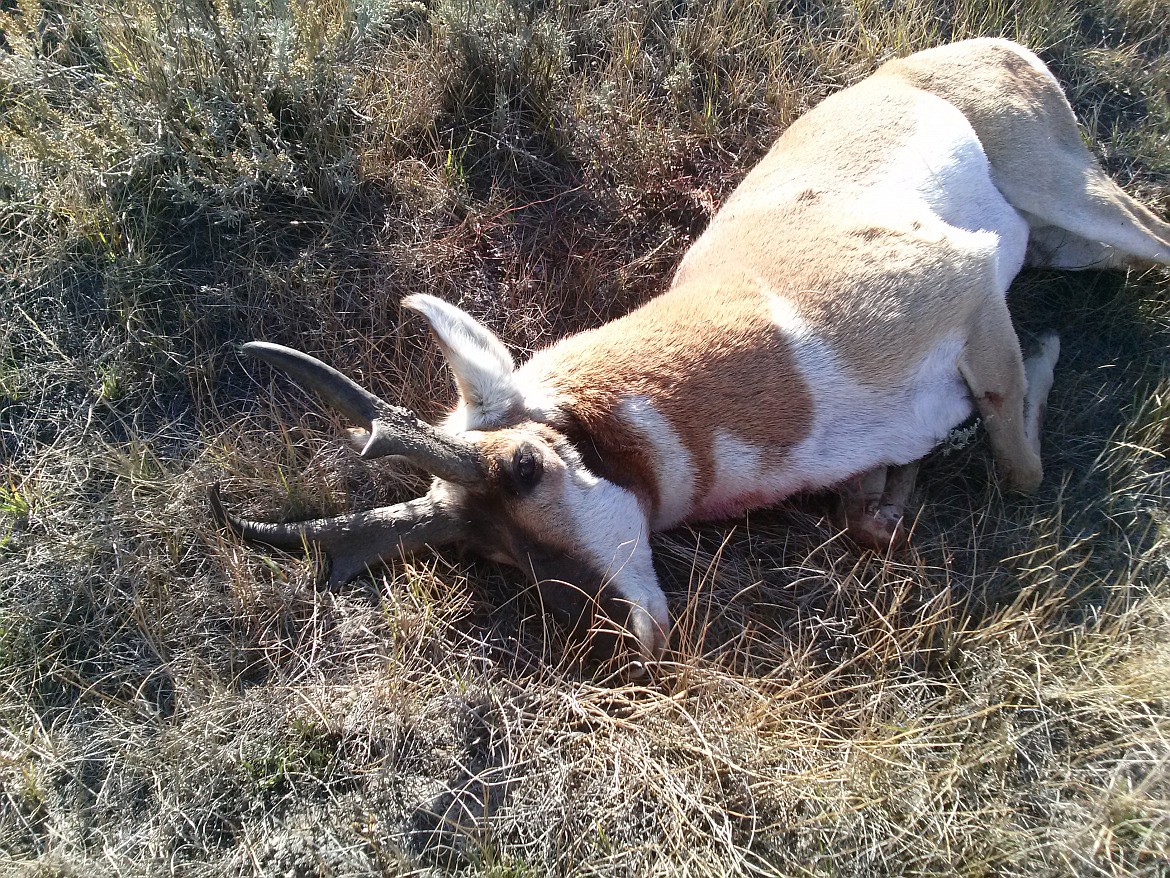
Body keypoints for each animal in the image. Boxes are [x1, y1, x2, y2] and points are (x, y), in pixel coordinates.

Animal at [215, 39, 1170, 674]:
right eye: (484, 555)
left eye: (525, 468)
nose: (613, 643)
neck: (760, 332)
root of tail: (973, 48)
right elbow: (870, 516)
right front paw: (899, 497)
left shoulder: (966, 279)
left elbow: (1021, 465)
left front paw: (1032, 365)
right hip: (1066, 240)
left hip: (1072, 196)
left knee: (1152, 238)